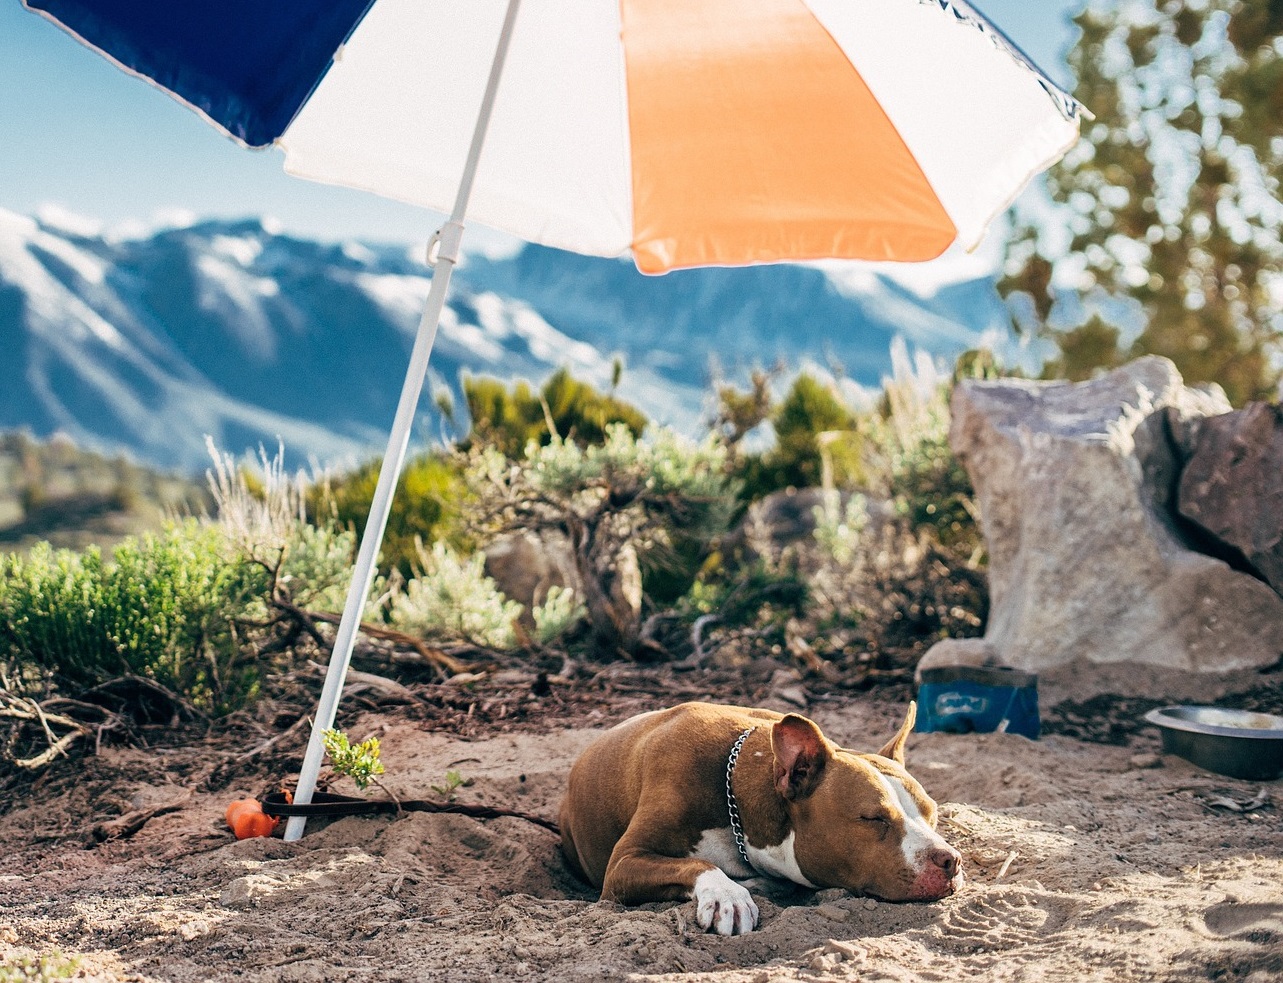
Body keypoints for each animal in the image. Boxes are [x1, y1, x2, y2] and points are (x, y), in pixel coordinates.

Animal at [561, 698, 964, 939]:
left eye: (933, 815)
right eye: (874, 818)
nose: (952, 860)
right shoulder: (622, 864)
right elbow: (697, 864)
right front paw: (728, 894)